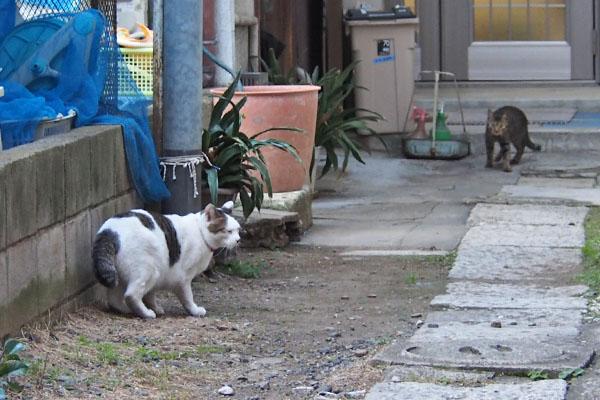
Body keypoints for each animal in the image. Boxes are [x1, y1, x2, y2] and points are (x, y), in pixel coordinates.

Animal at [90, 203, 240, 318]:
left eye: (238, 230)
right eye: (228, 231)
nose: (238, 240)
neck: (200, 232)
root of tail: (109, 231)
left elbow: (150, 295)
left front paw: (155, 307)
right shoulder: (183, 279)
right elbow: (187, 298)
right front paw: (194, 311)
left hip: (124, 276)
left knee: (114, 300)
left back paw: (127, 310)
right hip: (150, 270)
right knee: (131, 295)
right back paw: (146, 313)